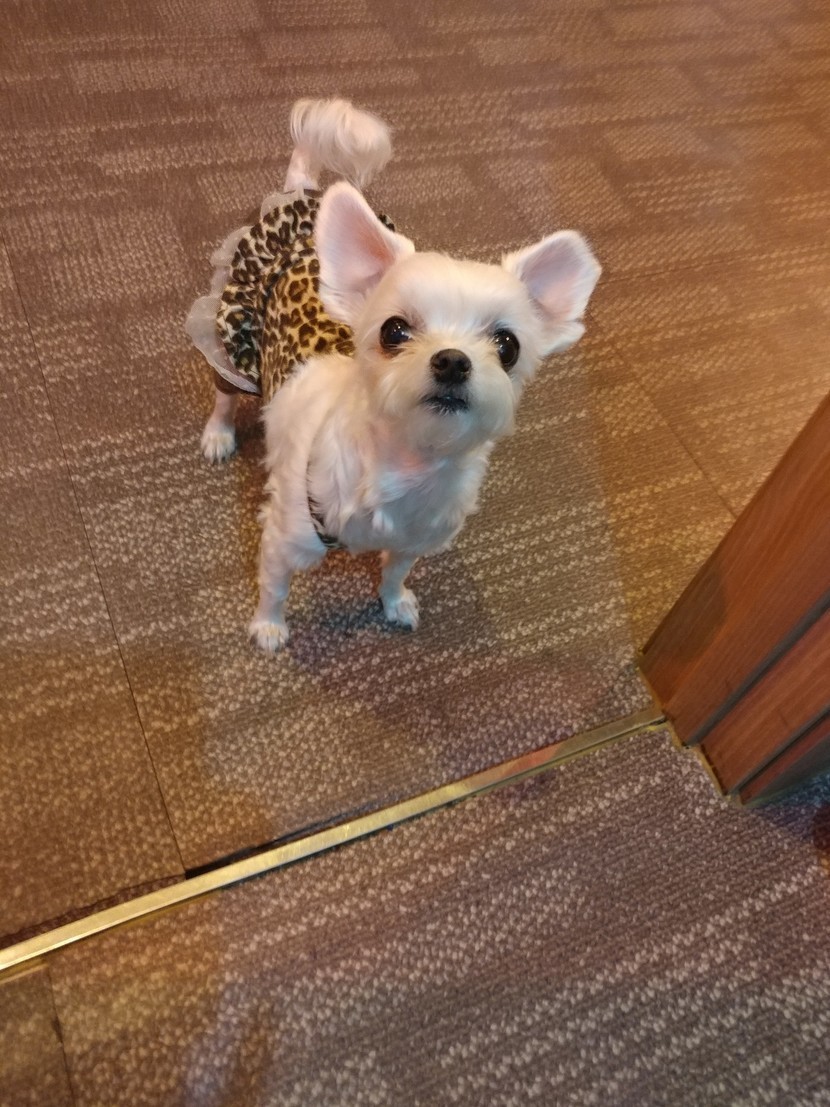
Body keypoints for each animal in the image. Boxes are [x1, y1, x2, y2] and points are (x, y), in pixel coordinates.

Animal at [186, 98, 601, 652]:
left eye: (508, 346)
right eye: (394, 330)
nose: (452, 360)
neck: (405, 467)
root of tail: (303, 193)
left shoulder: (414, 542)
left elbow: (394, 572)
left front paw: (393, 601)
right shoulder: (285, 539)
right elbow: (274, 588)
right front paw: (269, 628)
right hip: (234, 335)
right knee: (225, 394)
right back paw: (218, 434)